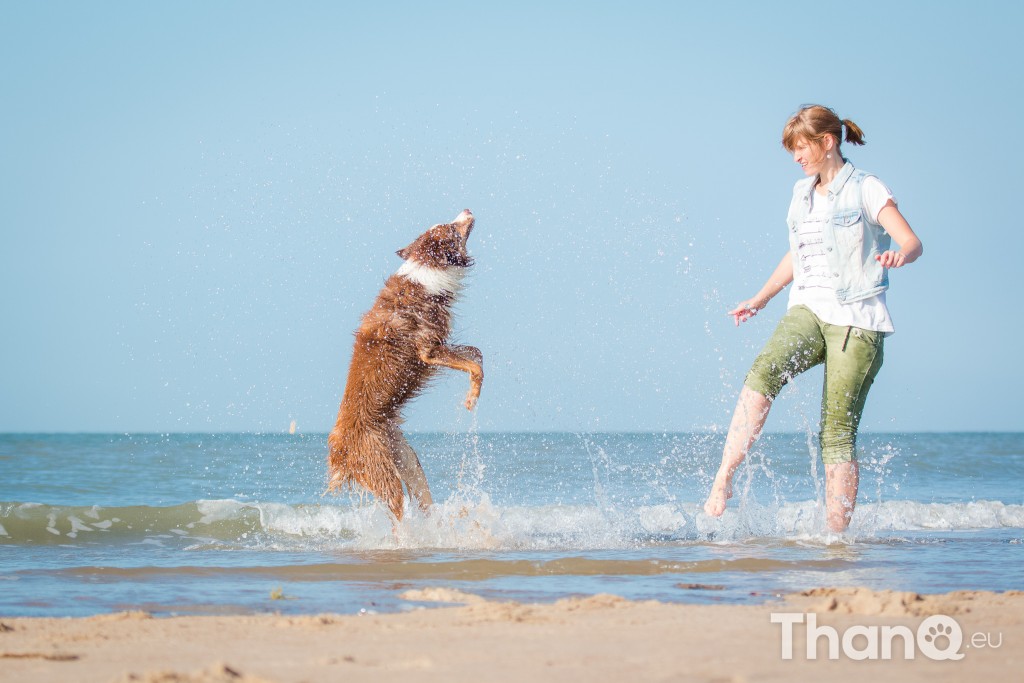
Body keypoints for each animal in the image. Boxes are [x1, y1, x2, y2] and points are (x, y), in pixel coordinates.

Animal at [329, 210, 485, 520]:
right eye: (451, 228)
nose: (467, 210)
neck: (427, 269)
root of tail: (339, 452)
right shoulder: (429, 351)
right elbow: (475, 366)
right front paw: (471, 400)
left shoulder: (442, 344)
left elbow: (477, 355)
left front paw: (473, 392)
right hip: (385, 475)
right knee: (399, 517)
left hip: (409, 461)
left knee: (424, 502)